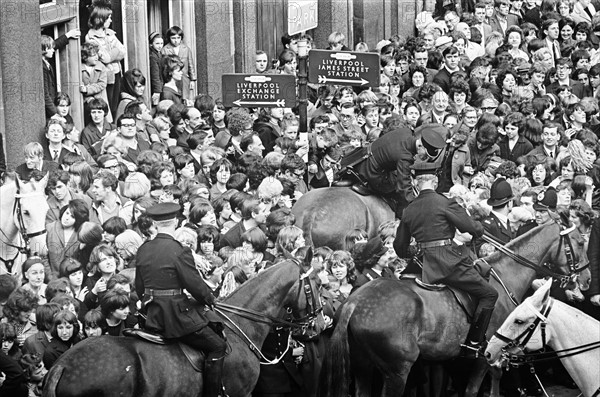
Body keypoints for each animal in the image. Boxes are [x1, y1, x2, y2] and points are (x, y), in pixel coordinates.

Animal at [318, 220, 592, 396]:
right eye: (579, 242)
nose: (587, 279)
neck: (504, 275)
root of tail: (354, 302)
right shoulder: (485, 356)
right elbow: (474, 389)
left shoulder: (452, 358)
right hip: (397, 371)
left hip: (362, 368)